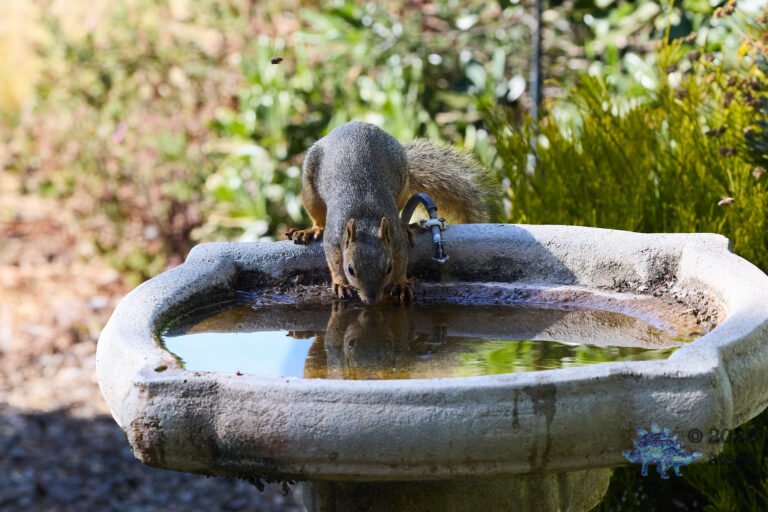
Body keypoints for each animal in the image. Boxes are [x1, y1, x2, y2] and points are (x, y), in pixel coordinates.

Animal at [285, 121, 496, 305]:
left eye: (388, 269)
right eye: (350, 270)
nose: (371, 300)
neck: (365, 218)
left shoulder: (394, 233)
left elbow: (401, 256)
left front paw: (401, 282)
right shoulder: (334, 234)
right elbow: (333, 258)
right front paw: (341, 283)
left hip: (402, 184)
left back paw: (407, 227)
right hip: (310, 189)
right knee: (317, 218)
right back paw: (309, 231)